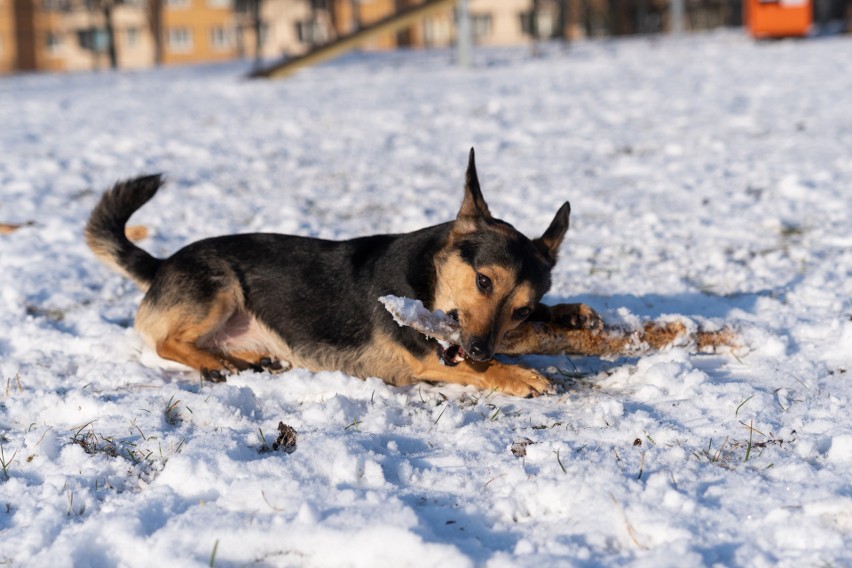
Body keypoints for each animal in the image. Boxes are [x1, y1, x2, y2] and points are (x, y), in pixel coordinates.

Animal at [83, 151, 596, 400]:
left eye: (522, 309)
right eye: (483, 282)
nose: (479, 349)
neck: (426, 280)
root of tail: (160, 264)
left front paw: (569, 314)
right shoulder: (424, 359)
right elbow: (481, 370)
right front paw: (518, 375)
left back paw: (251, 359)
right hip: (220, 285)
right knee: (166, 342)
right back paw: (219, 365)